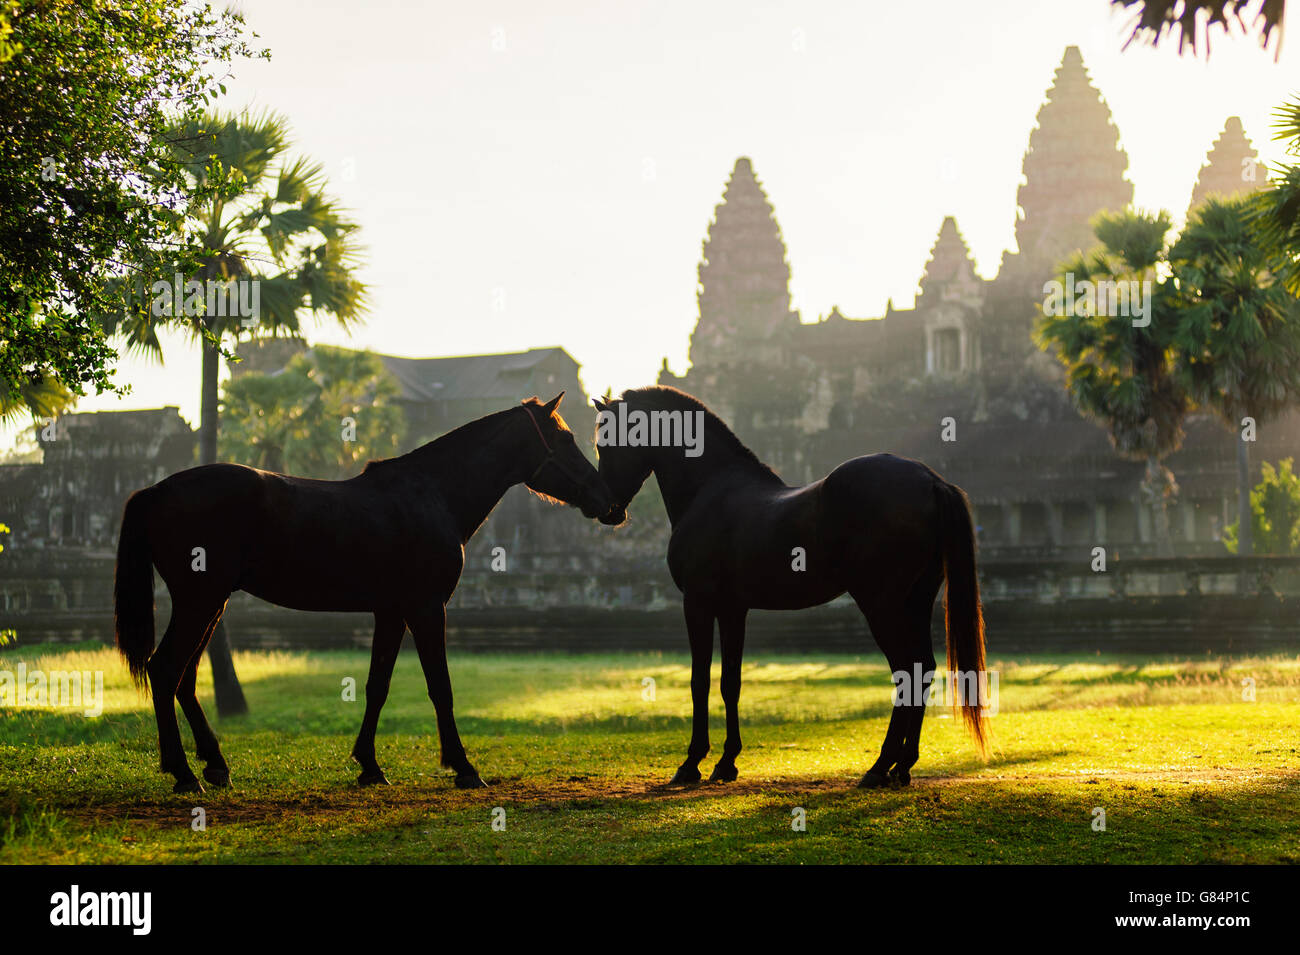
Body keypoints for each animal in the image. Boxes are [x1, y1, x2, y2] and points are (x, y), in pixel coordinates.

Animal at [115, 392, 613, 795]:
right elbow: (440, 687)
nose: (608, 501)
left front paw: (370, 766)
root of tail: (155, 490)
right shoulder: (427, 608)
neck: (431, 494)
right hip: (200, 602)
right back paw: (184, 774)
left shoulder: (391, 612)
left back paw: (215, 766)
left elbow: (378, 686)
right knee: (165, 670)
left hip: (210, 604)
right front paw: (464, 767)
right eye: (565, 438)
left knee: (184, 678)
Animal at [595, 384, 987, 789]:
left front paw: (691, 763)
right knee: (922, 668)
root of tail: (929, 480)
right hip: (916, 601)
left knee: (906, 669)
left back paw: (880, 767)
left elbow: (699, 681)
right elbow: (730, 681)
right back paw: (902, 766)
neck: (711, 490)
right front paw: (727, 762)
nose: (607, 509)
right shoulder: (733, 608)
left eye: (608, 441)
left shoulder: (698, 603)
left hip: (881, 604)